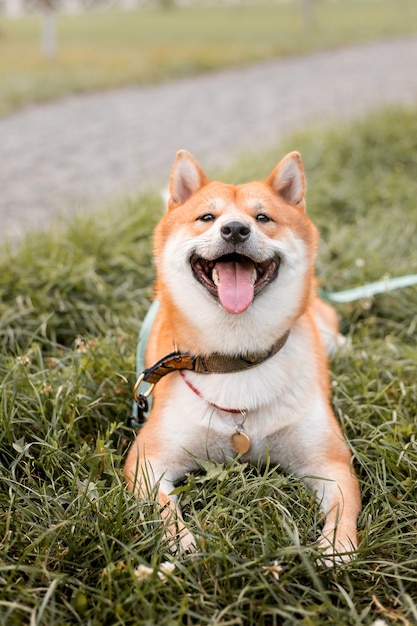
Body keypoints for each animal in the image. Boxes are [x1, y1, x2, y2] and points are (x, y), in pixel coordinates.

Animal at [124, 150, 360, 560]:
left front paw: (336, 549)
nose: (235, 229)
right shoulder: (147, 460)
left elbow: (343, 508)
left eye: (263, 218)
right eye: (207, 217)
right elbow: (161, 508)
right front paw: (180, 543)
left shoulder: (330, 461)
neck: (236, 360)